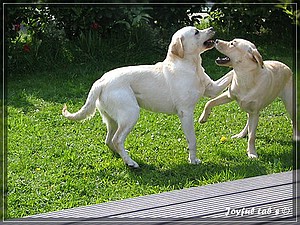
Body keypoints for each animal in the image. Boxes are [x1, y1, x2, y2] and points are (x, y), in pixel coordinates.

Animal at [62, 26, 232, 167]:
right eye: (196, 32)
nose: (212, 28)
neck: (191, 65)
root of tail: (100, 82)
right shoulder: (186, 112)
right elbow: (193, 140)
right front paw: (193, 160)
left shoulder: (212, 89)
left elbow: (229, 75)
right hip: (131, 114)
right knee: (117, 140)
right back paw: (131, 163)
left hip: (113, 120)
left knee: (109, 140)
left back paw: (124, 157)